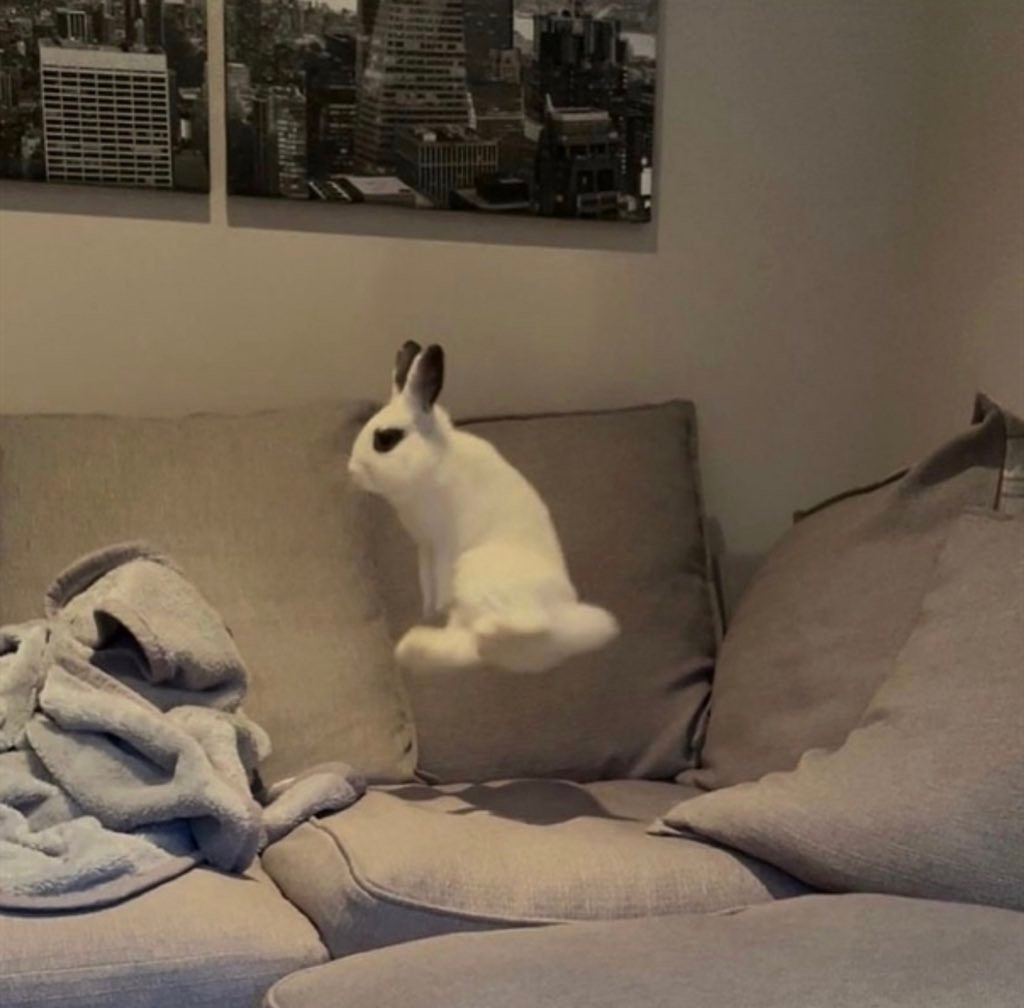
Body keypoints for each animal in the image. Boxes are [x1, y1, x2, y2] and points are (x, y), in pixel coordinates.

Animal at [348, 340, 618, 676]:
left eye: (386, 439)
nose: (352, 472)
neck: (433, 465)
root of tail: (566, 617)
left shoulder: (443, 544)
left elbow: (441, 581)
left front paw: (439, 607)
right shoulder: (424, 547)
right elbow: (426, 582)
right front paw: (427, 611)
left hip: (476, 568)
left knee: (531, 624)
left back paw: (488, 631)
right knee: (470, 645)